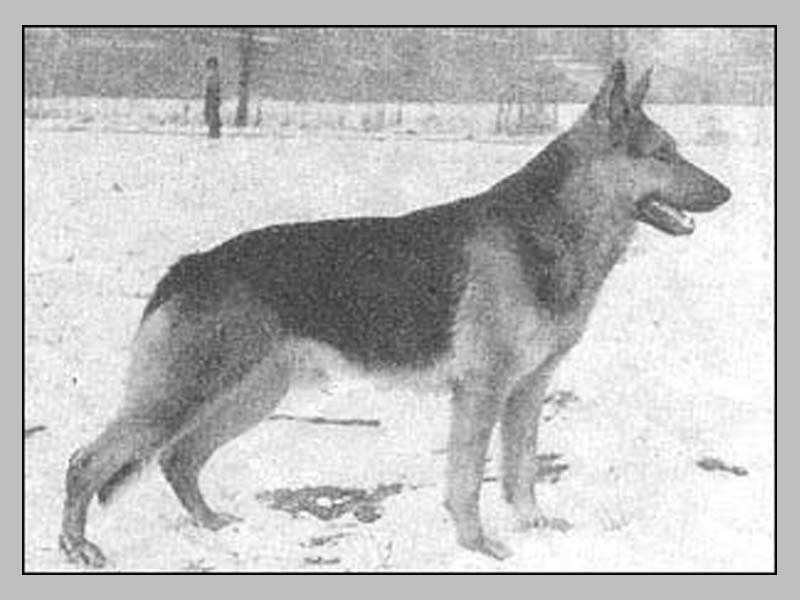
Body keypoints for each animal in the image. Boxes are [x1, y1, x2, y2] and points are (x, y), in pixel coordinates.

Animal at [58, 61, 730, 567]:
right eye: (663, 154)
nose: (727, 193)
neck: (552, 230)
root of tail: (190, 263)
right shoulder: (482, 391)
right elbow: (468, 480)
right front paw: (479, 546)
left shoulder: (529, 390)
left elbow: (521, 471)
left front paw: (534, 527)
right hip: (179, 397)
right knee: (87, 461)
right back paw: (77, 547)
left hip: (250, 397)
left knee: (179, 459)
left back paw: (214, 526)